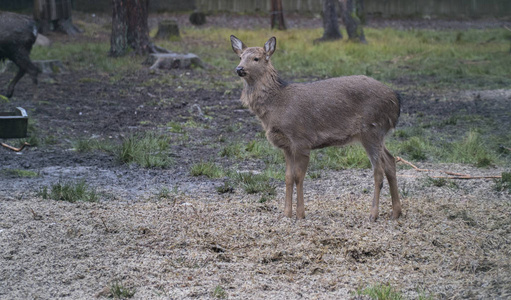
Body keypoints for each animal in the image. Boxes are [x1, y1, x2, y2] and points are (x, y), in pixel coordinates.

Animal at [232, 35, 404, 223]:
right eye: (240, 56)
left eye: (256, 58)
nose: (239, 68)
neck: (276, 106)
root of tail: (396, 100)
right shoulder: (286, 145)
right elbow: (287, 177)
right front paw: (286, 213)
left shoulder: (301, 139)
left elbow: (298, 176)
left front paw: (300, 214)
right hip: (378, 133)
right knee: (390, 161)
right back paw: (396, 212)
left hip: (372, 129)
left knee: (378, 170)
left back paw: (373, 214)